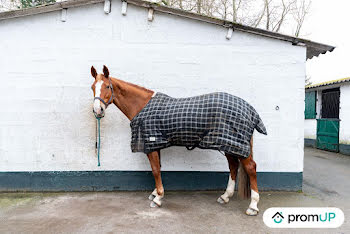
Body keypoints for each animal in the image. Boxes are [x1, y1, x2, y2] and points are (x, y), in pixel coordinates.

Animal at [89, 65, 266, 216]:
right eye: (92, 87)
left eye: (107, 86)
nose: (97, 110)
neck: (142, 106)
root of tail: (249, 109)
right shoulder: (156, 143)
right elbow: (158, 168)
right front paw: (155, 193)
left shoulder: (151, 143)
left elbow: (155, 170)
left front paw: (158, 198)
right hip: (228, 144)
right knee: (233, 166)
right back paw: (225, 196)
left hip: (234, 144)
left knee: (250, 168)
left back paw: (253, 206)